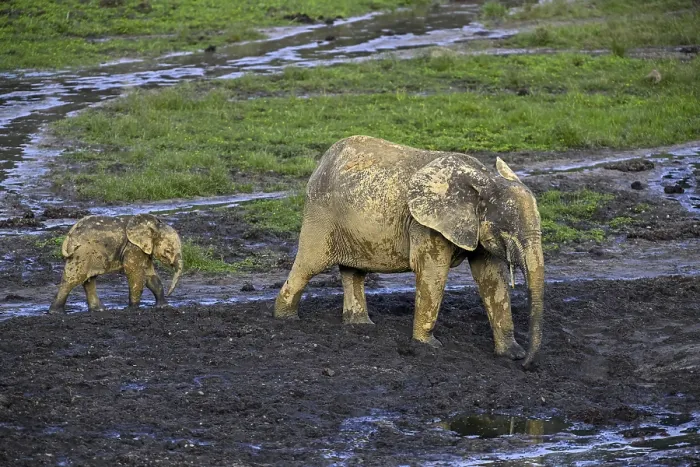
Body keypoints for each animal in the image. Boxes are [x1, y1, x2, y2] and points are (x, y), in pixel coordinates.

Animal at [48, 214, 183, 313]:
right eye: (168, 251)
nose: (169, 293)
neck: (155, 226)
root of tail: (70, 234)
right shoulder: (132, 247)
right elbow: (135, 273)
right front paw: (133, 308)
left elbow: (152, 278)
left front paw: (163, 307)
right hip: (80, 253)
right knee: (72, 279)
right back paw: (56, 312)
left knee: (89, 280)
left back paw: (99, 310)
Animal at [275, 136, 544, 369]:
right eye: (508, 230)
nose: (527, 366)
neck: (485, 179)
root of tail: (323, 161)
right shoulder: (425, 224)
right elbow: (433, 273)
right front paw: (428, 348)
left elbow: (491, 278)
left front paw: (511, 354)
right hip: (321, 214)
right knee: (309, 265)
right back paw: (285, 320)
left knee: (354, 271)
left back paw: (361, 326)